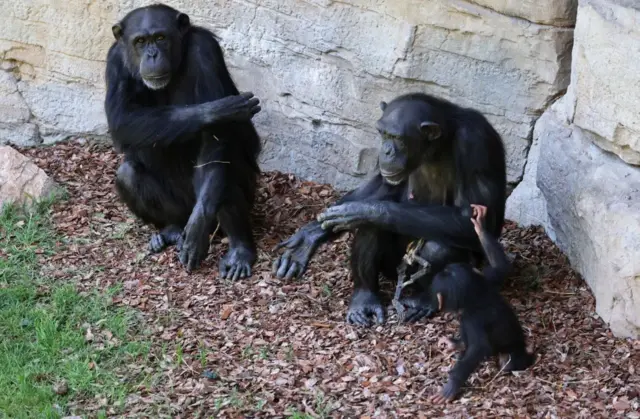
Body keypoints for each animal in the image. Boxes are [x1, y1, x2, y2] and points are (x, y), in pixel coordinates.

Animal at [106, 4, 262, 278]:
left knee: (223, 171)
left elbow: (215, 142)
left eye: (160, 37)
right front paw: (216, 111)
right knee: (127, 174)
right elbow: (121, 117)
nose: (152, 54)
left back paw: (239, 250)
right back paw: (171, 230)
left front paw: (199, 226)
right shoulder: (114, 61)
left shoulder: (205, 50)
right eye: (140, 42)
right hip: (179, 207)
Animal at [272, 93, 508, 326]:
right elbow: (382, 183)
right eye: (383, 133)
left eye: (397, 138)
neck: (437, 146)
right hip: (392, 267)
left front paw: (364, 211)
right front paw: (311, 234)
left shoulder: (477, 144)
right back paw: (364, 299)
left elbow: (474, 218)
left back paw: (424, 301)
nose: (385, 150)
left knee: (438, 247)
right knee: (371, 230)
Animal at [430, 205, 536, 406]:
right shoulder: (487, 279)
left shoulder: (472, 319)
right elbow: (500, 267)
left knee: (506, 362)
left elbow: (478, 348)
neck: (473, 294)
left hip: (512, 354)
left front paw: (452, 385)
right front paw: (479, 226)